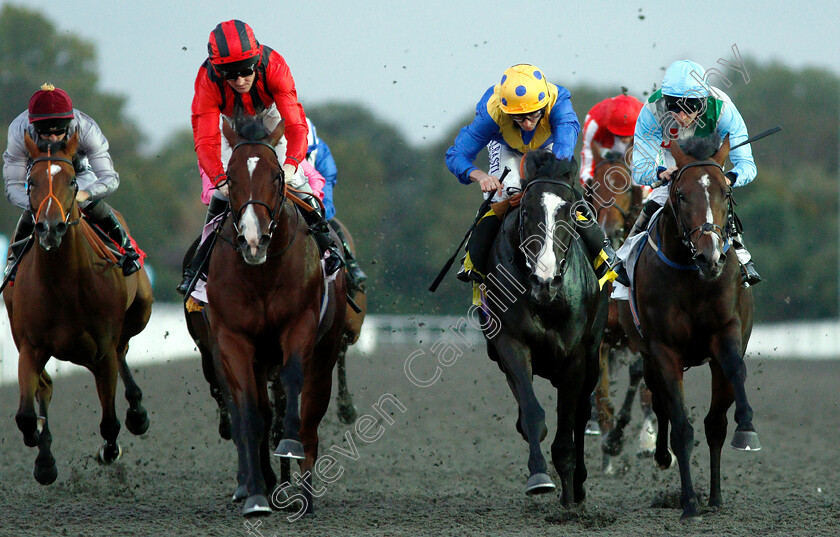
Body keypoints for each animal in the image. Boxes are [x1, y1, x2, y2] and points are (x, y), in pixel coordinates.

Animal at [2, 133, 153, 482]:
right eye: (31, 182)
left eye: (72, 181)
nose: (50, 227)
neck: (65, 284)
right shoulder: (30, 347)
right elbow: (26, 415)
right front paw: (41, 448)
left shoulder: (102, 349)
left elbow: (109, 422)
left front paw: (109, 450)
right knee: (45, 386)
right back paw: (45, 457)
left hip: (141, 310)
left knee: (124, 348)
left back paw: (137, 413)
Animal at [199, 116, 346, 516]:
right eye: (230, 178)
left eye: (278, 176)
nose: (253, 239)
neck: (261, 273)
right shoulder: (232, 340)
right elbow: (249, 414)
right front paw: (254, 495)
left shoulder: (300, 325)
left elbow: (294, 385)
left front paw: (289, 447)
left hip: (325, 352)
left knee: (310, 416)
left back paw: (304, 493)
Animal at [616, 135, 760, 520]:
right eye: (680, 194)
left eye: (727, 191)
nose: (710, 257)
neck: (693, 277)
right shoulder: (663, 350)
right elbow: (681, 426)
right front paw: (690, 503)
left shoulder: (726, 332)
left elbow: (732, 382)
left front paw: (747, 428)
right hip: (648, 357)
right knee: (661, 403)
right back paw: (664, 461)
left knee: (713, 423)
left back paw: (715, 496)